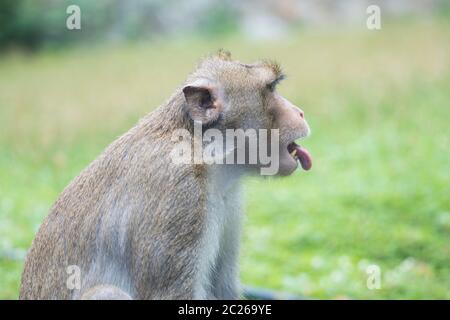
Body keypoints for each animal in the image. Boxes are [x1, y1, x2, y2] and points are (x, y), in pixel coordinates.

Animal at [19, 50, 312, 300]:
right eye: (270, 89)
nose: (300, 111)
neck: (204, 153)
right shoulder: (180, 196)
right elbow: (169, 294)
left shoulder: (230, 198)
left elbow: (221, 286)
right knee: (106, 292)